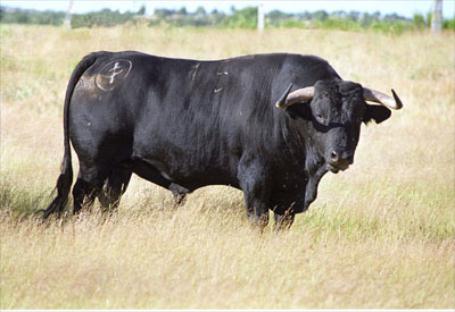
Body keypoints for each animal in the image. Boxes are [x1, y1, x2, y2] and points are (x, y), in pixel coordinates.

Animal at [42, 51, 402, 229]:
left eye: (357, 117)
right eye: (320, 114)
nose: (340, 156)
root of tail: (109, 58)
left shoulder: (289, 198)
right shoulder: (255, 181)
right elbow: (258, 220)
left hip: (120, 168)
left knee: (109, 199)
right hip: (93, 163)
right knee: (82, 196)